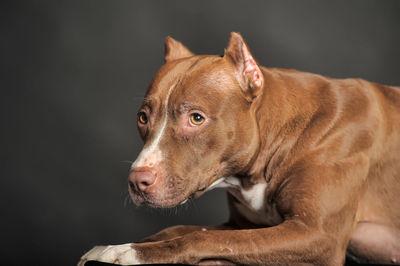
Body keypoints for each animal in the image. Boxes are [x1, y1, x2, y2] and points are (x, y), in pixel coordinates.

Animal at [79, 32, 400, 264]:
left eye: (196, 118)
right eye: (142, 118)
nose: (137, 181)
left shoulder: (317, 235)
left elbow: (202, 239)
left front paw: (131, 253)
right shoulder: (243, 225)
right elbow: (181, 230)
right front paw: (119, 246)